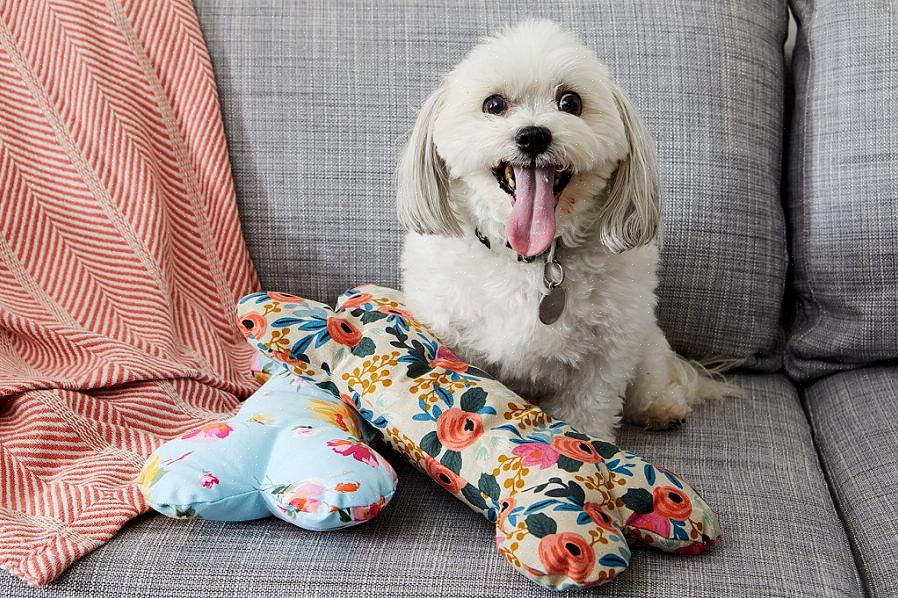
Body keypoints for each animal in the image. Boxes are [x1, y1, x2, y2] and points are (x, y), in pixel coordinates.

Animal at [396, 21, 732, 440]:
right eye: (494, 105)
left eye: (570, 102)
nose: (533, 135)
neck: (530, 257)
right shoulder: (454, 334)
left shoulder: (606, 353)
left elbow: (588, 412)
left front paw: (588, 447)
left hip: (646, 339)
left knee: (651, 377)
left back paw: (661, 407)